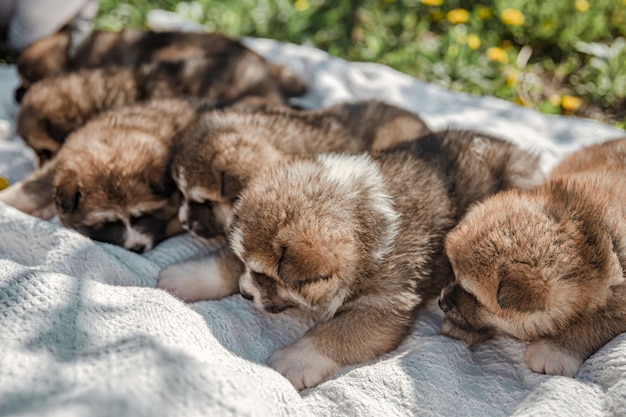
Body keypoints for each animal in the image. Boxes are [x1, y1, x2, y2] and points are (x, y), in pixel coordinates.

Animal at [0, 99, 196, 252]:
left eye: (143, 215)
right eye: (108, 224)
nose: (137, 248)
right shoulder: (62, 164)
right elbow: (32, 187)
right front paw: (8, 198)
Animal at [225, 129, 540, 386]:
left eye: (264, 275)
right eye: (245, 264)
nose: (243, 293)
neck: (360, 217)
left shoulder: (384, 305)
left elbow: (336, 333)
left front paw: (293, 360)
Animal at [436, 137, 624, 376]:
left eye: (474, 297)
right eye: (454, 274)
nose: (441, 302)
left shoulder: (619, 299)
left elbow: (597, 322)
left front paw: (554, 350)